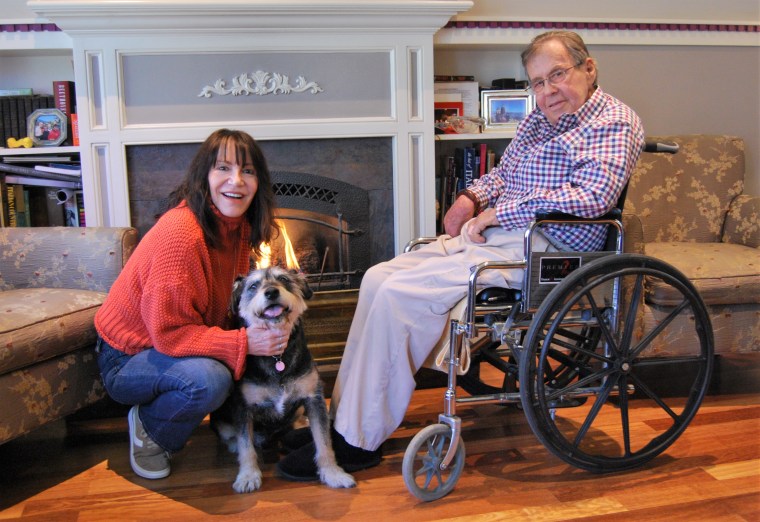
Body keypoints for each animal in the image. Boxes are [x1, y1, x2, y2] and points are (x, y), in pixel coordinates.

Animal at [209, 266, 354, 490]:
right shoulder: (243, 407)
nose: (271, 292)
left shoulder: (314, 399)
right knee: (233, 438)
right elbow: (246, 446)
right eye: (253, 286)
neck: (277, 357)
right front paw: (248, 476)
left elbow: (324, 442)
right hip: (221, 422)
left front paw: (333, 473)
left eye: (284, 279)